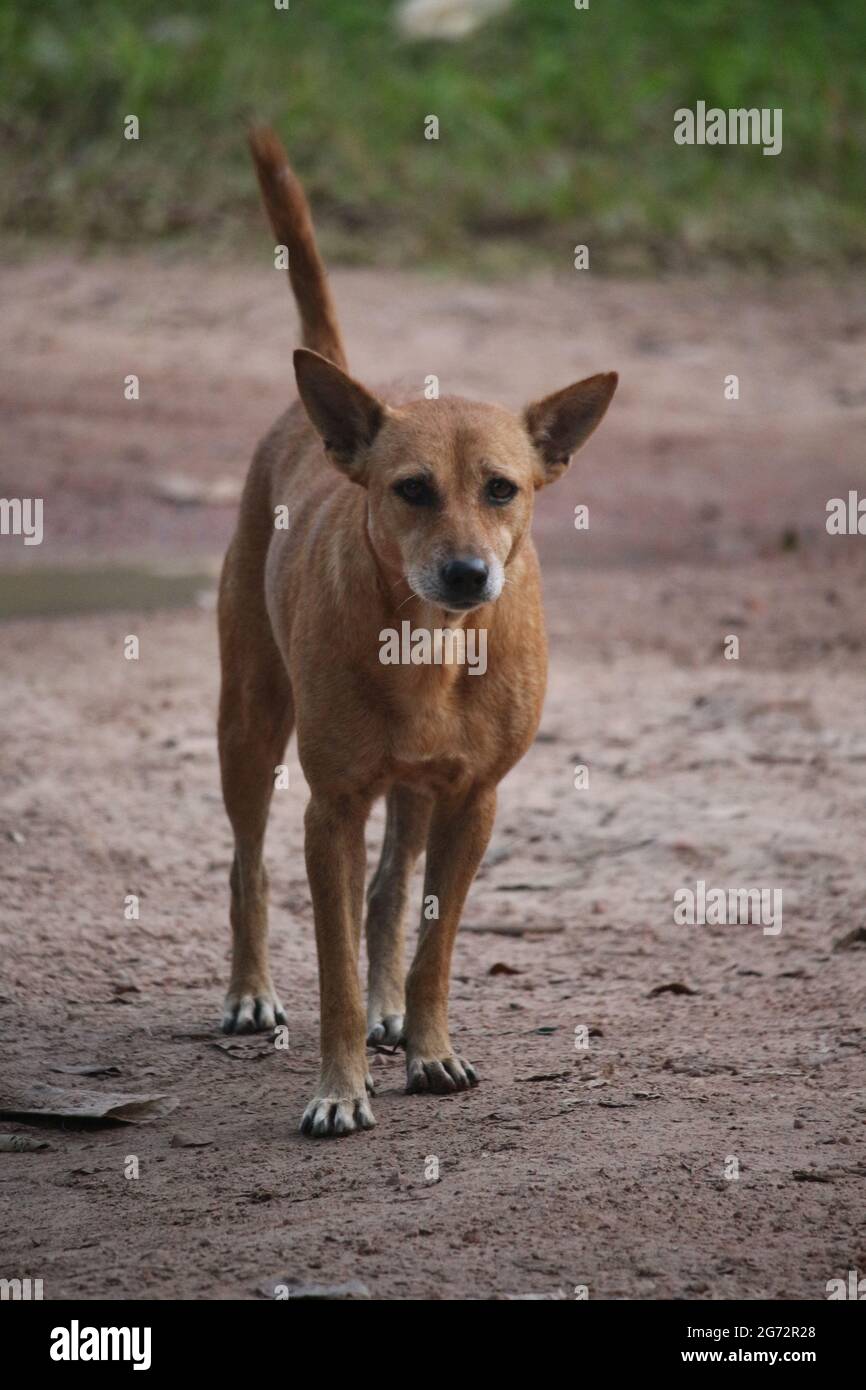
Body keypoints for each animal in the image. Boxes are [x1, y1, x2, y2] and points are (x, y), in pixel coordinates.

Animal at [219, 125, 619, 1134]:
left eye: (503, 488)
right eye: (411, 490)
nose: (470, 574)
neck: (429, 648)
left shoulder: (472, 799)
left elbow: (433, 941)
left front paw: (429, 1047)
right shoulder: (331, 807)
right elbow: (332, 971)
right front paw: (340, 1088)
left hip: (414, 790)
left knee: (390, 893)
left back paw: (394, 1012)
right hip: (249, 721)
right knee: (246, 863)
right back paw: (249, 992)